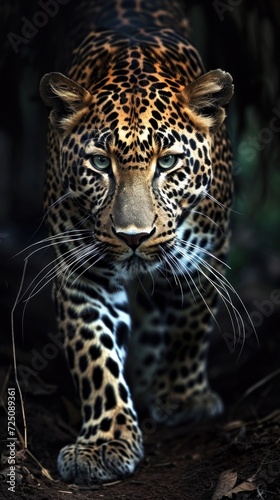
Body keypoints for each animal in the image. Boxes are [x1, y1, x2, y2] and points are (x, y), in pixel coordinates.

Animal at [40, 0, 234, 484]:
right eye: (98, 163)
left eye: (167, 163)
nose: (134, 237)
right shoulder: (81, 271)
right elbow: (93, 353)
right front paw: (105, 442)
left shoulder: (208, 252)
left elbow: (190, 324)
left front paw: (183, 398)